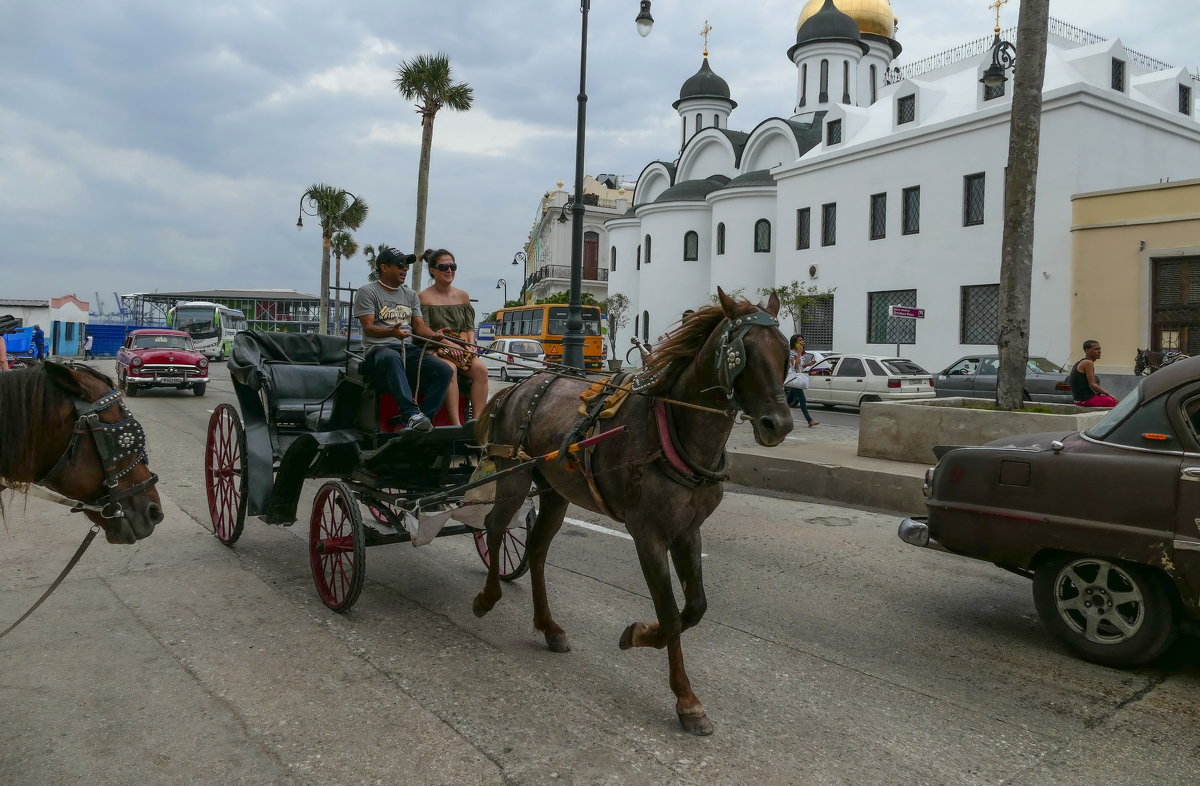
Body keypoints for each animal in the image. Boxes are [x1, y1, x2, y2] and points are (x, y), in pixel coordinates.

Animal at [472, 290, 792, 739]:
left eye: (785, 352)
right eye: (740, 354)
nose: (778, 424)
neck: (673, 429)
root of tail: (522, 385)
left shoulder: (688, 531)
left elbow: (695, 608)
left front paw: (639, 635)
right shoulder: (648, 534)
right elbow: (670, 613)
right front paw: (686, 699)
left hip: (553, 492)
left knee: (535, 550)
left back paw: (548, 626)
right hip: (515, 477)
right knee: (495, 527)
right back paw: (487, 598)